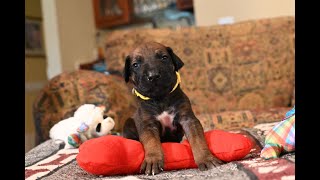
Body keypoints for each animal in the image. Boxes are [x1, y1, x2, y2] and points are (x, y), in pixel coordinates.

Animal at [122, 41, 222, 174]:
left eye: (164, 58)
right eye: (135, 65)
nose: (153, 75)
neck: (160, 98)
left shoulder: (188, 119)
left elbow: (198, 139)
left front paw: (206, 159)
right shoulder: (147, 124)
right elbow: (151, 142)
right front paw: (153, 160)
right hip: (128, 123)